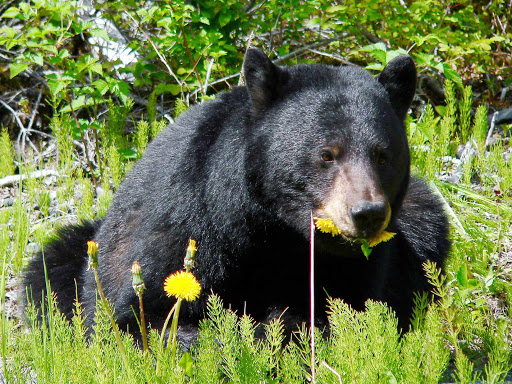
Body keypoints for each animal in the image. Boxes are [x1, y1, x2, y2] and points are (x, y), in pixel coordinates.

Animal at [23, 47, 448, 336]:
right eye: (327, 154)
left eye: (382, 154)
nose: (367, 213)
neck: (274, 230)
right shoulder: (183, 225)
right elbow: (138, 315)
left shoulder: (358, 265)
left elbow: (350, 307)